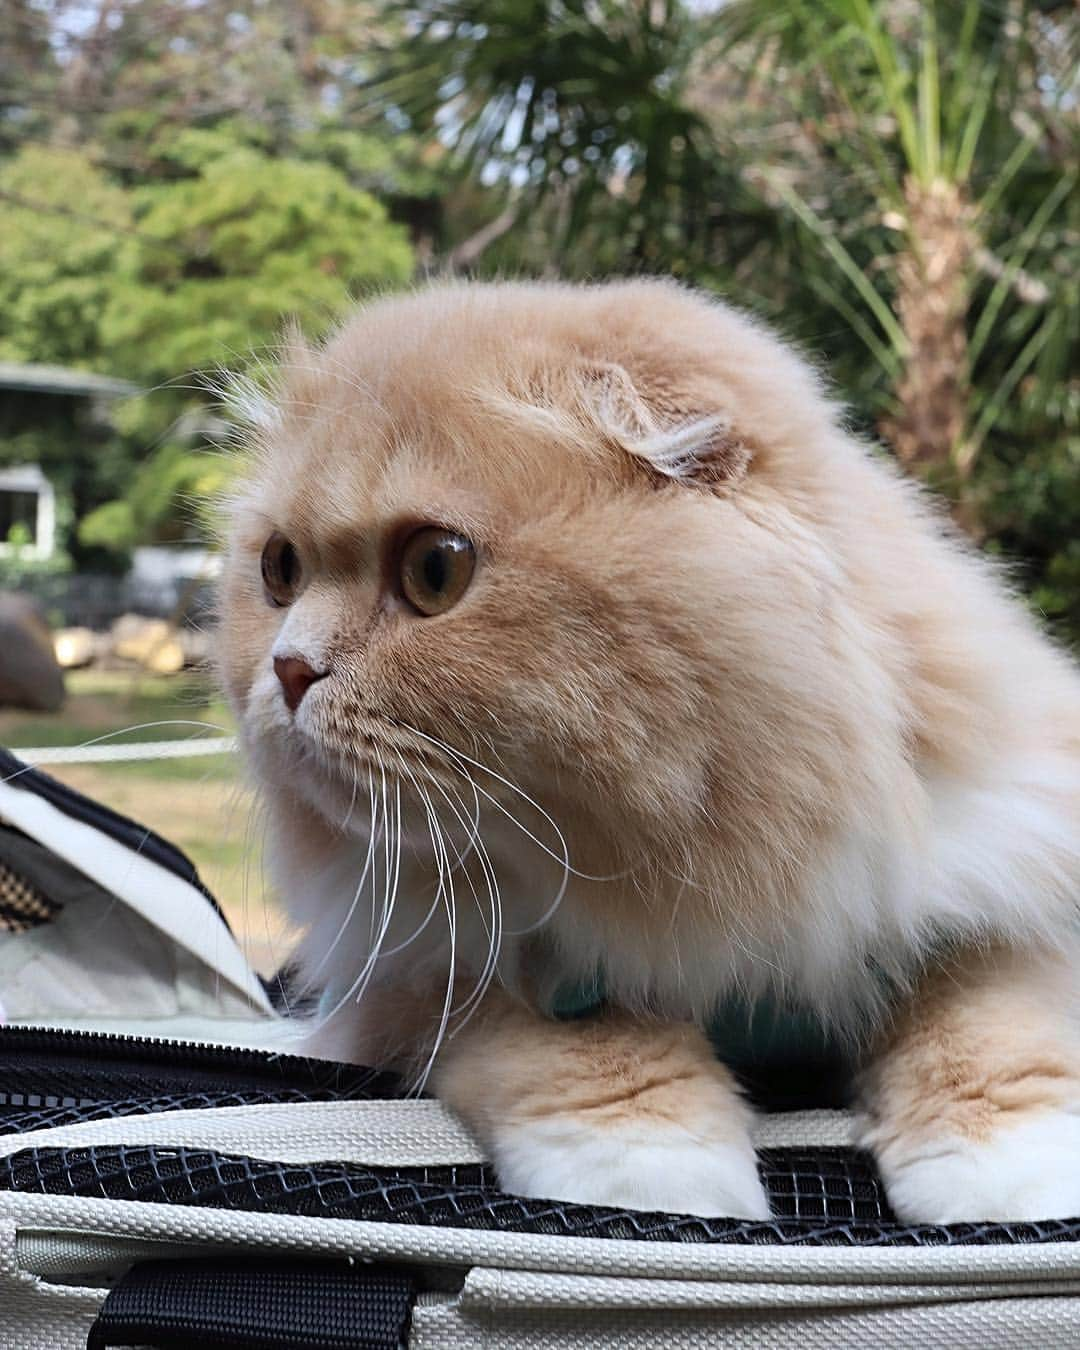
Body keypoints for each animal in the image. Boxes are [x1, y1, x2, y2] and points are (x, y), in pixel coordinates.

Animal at [217, 276, 1080, 1225]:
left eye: (434, 570)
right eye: (280, 570)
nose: (288, 669)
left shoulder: (993, 899)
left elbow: (987, 1034)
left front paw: (1015, 1181)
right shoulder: (420, 974)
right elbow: (576, 1045)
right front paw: (660, 1169)